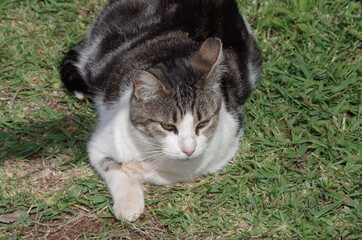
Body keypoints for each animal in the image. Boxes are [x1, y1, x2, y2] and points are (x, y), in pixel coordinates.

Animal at [60, 0, 262, 221]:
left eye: (203, 123)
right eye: (167, 126)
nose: (189, 149)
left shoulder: (225, 143)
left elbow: (178, 172)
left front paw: (138, 169)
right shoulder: (100, 144)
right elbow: (112, 167)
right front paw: (129, 202)